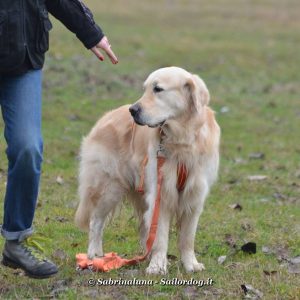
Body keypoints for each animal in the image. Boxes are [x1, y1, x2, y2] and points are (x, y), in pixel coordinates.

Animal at [75, 66, 220, 274]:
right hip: (108, 188)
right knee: (96, 221)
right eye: (145, 89)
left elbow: (187, 238)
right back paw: (95, 255)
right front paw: (158, 266)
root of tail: (105, 117)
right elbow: (160, 236)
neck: (182, 139)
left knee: (144, 229)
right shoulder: (161, 194)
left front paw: (190, 264)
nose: (132, 110)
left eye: (158, 89)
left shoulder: (194, 195)